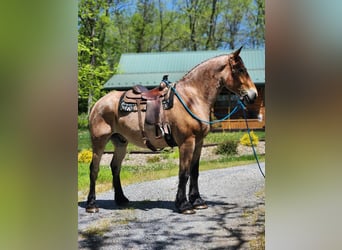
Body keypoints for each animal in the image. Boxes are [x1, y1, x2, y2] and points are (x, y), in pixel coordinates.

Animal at [85, 47, 256, 215]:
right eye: (240, 70)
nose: (253, 95)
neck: (191, 98)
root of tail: (98, 104)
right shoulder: (187, 142)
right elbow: (184, 173)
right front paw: (184, 205)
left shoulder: (199, 142)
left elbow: (194, 171)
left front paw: (198, 201)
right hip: (99, 141)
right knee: (94, 168)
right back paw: (91, 204)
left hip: (121, 142)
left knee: (115, 167)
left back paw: (121, 199)